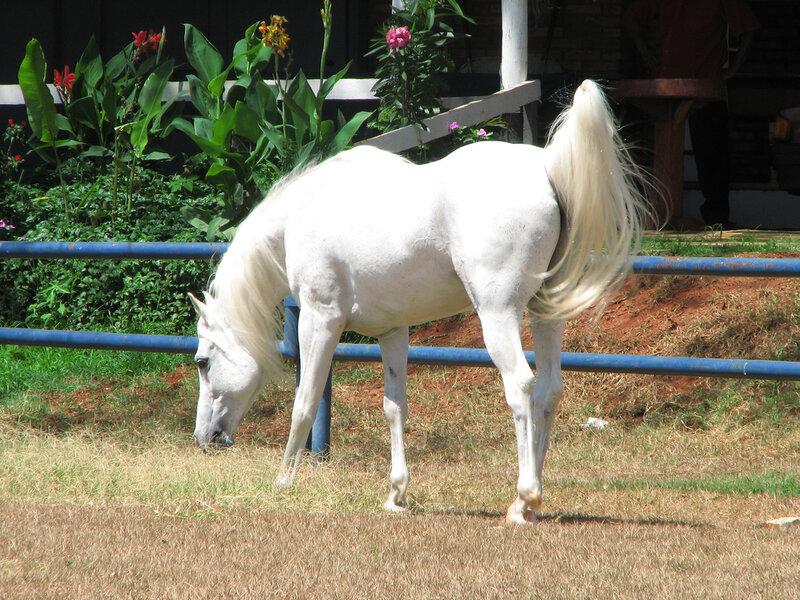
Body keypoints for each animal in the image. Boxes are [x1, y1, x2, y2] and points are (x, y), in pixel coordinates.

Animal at [188, 80, 651, 524]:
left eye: (203, 362)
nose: (203, 439)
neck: (301, 217)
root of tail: (545, 169)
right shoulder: (393, 331)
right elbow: (395, 407)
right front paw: (397, 494)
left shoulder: (320, 321)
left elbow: (304, 402)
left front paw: (284, 480)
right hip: (545, 315)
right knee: (549, 391)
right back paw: (529, 503)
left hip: (498, 315)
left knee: (521, 386)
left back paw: (524, 498)